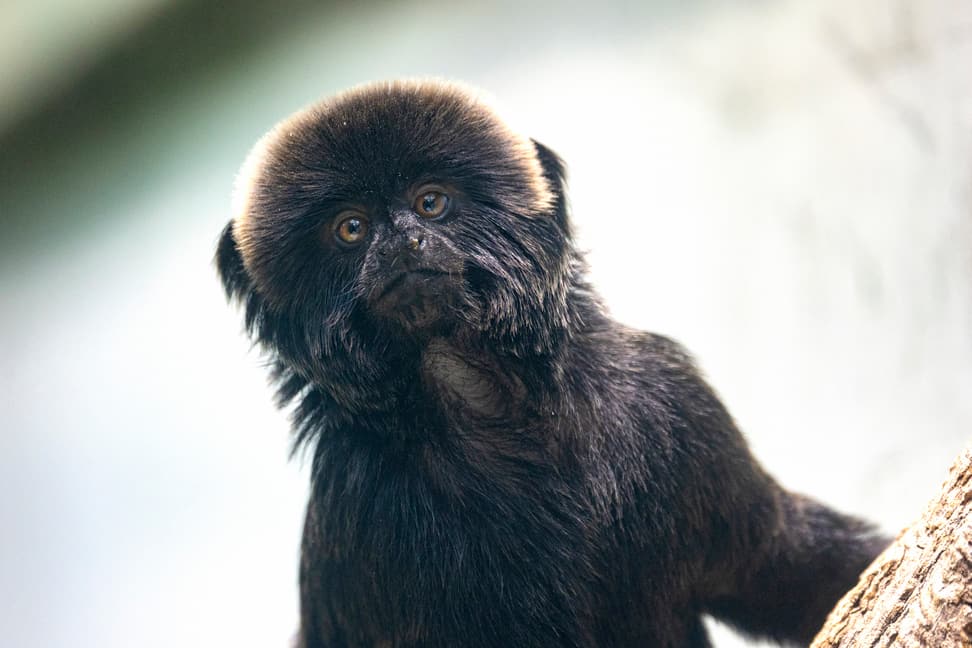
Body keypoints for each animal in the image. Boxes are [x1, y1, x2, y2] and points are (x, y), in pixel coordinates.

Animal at [216, 81, 892, 648]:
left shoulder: (671, 406)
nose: (401, 242)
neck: (478, 398)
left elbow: (774, 561)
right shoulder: (361, 510)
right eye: (351, 229)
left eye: (430, 203)